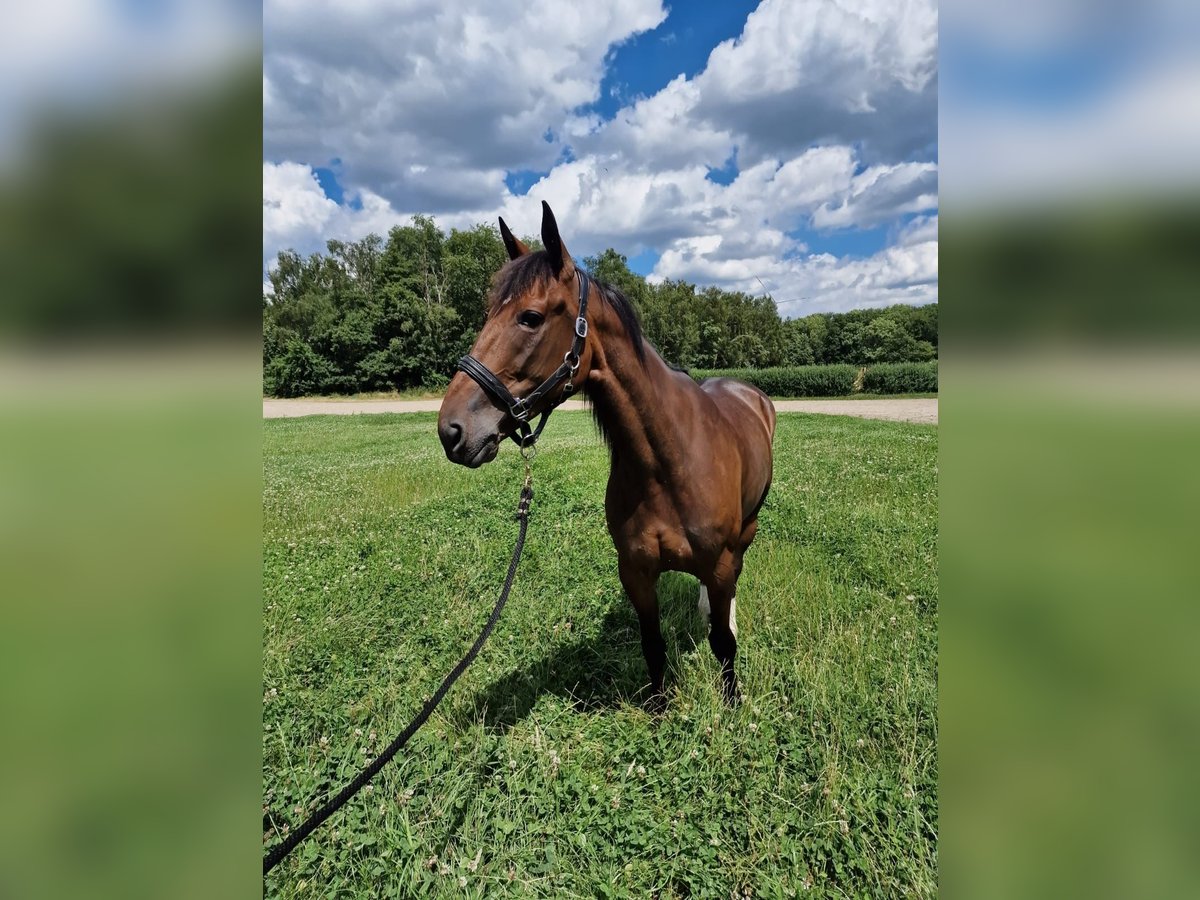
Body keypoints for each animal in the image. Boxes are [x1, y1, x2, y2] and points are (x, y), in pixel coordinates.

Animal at [436, 202, 772, 705]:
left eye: (530, 317)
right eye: (487, 312)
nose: (451, 431)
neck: (669, 463)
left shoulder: (720, 562)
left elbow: (723, 644)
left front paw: (731, 703)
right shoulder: (635, 572)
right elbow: (653, 646)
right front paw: (658, 710)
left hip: (746, 531)